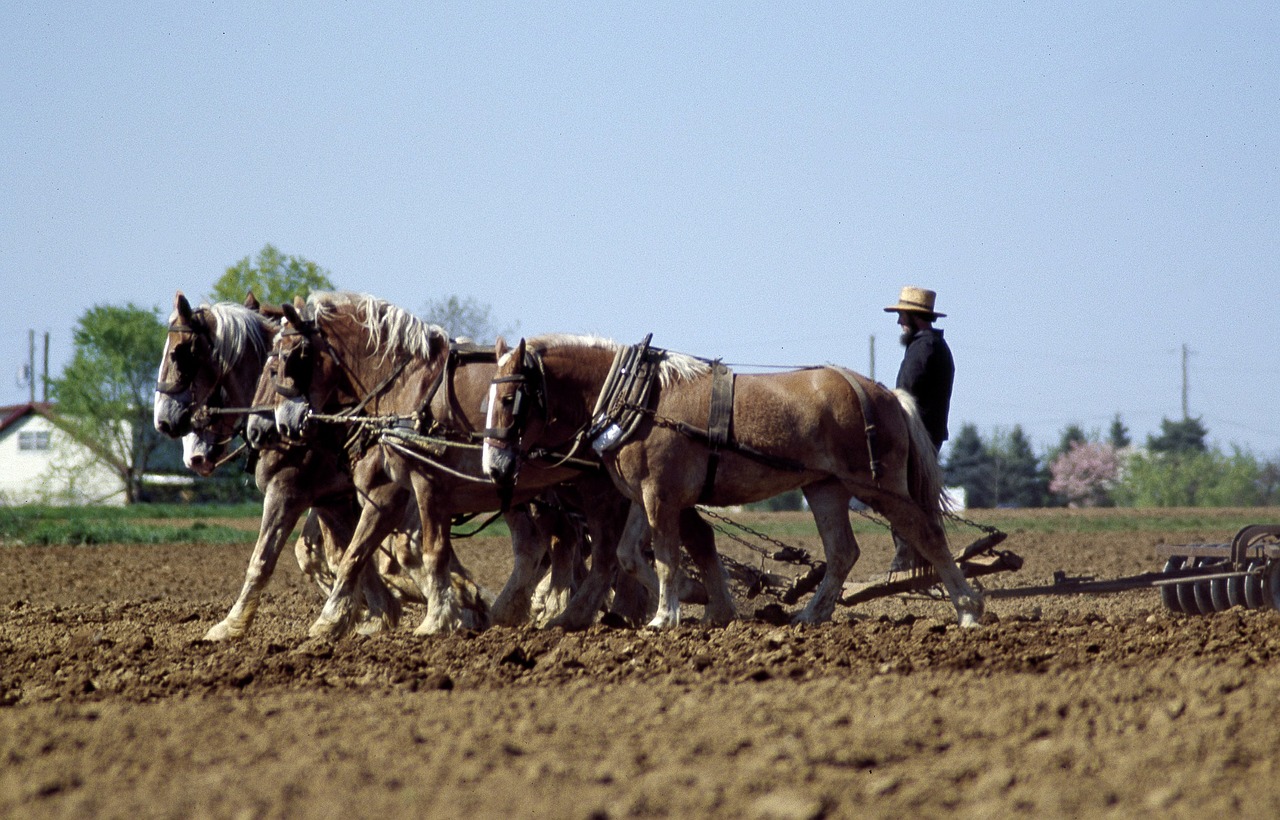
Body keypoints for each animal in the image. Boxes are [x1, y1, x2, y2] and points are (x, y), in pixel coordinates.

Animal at [259, 291, 727, 637]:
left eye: (287, 358)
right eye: (268, 361)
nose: (276, 425)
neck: (411, 384)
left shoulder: (424, 483)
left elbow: (428, 551)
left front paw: (438, 618)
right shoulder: (389, 493)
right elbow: (360, 552)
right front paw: (332, 622)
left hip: (607, 489)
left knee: (617, 552)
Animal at [483, 332, 983, 626]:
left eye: (509, 399)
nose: (494, 467)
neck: (639, 397)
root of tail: (886, 393)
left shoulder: (660, 495)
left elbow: (666, 556)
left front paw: (666, 616)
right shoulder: (642, 496)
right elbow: (629, 555)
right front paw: (690, 600)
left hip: (877, 486)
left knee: (927, 534)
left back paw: (969, 610)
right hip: (825, 487)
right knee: (843, 552)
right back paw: (808, 617)